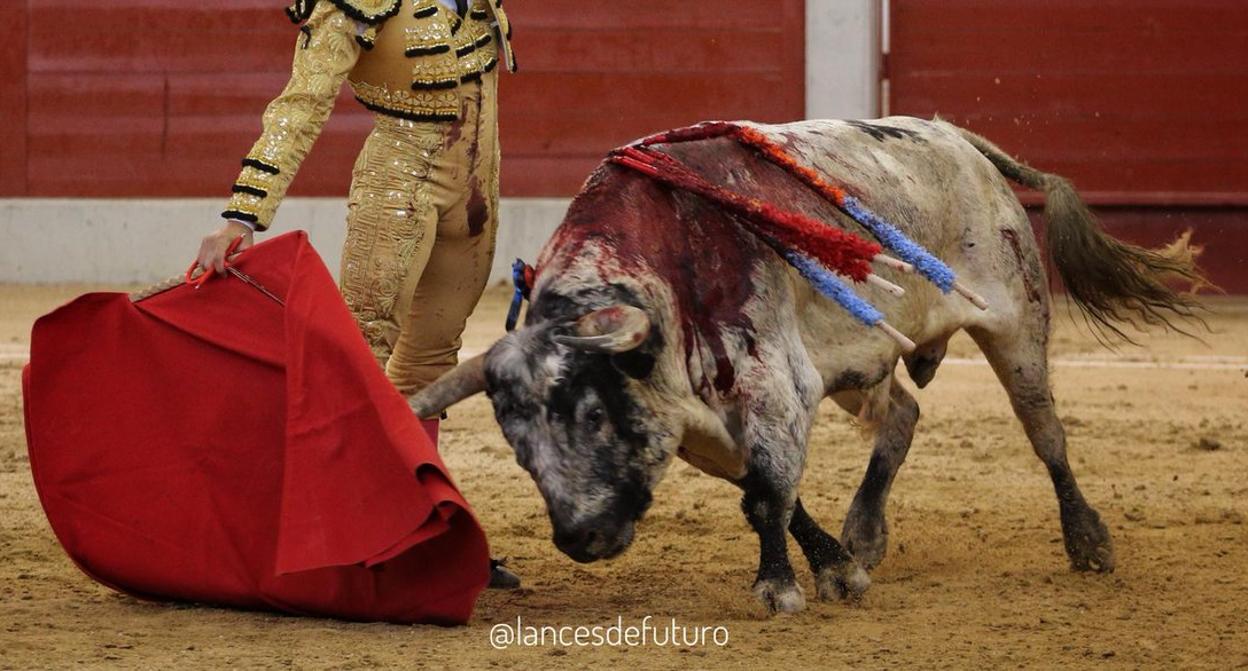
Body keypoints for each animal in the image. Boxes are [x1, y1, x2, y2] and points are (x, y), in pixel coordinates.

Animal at [404, 119, 1203, 611]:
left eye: (595, 414)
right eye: (517, 445)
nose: (581, 538)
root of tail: (957, 139)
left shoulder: (774, 387)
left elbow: (767, 497)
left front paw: (779, 587)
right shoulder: (701, 421)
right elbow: (775, 494)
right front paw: (838, 566)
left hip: (1017, 321)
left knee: (1046, 432)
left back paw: (1088, 540)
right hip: (864, 353)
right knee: (904, 414)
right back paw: (866, 532)